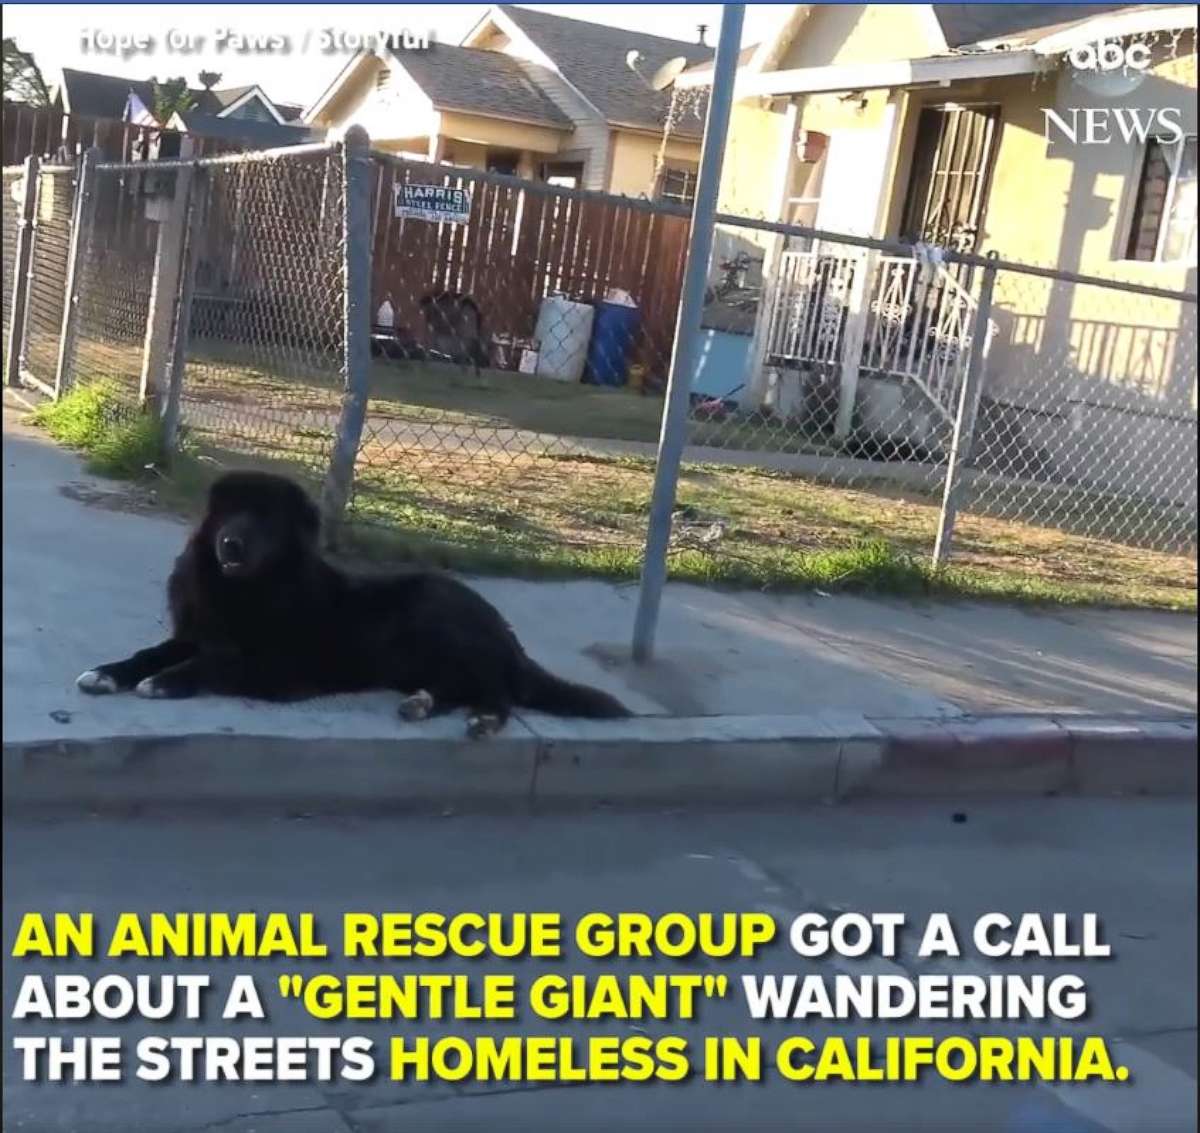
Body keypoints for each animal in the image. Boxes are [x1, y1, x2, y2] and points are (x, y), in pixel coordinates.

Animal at [76, 468, 633, 734]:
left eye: (266, 519)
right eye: (230, 512)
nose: (231, 543)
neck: (244, 590)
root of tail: (507, 633)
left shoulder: (281, 666)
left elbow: (214, 663)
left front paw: (165, 682)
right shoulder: (195, 630)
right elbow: (153, 651)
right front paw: (108, 673)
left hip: (438, 616)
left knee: (498, 693)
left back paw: (481, 720)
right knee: (460, 687)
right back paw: (422, 704)